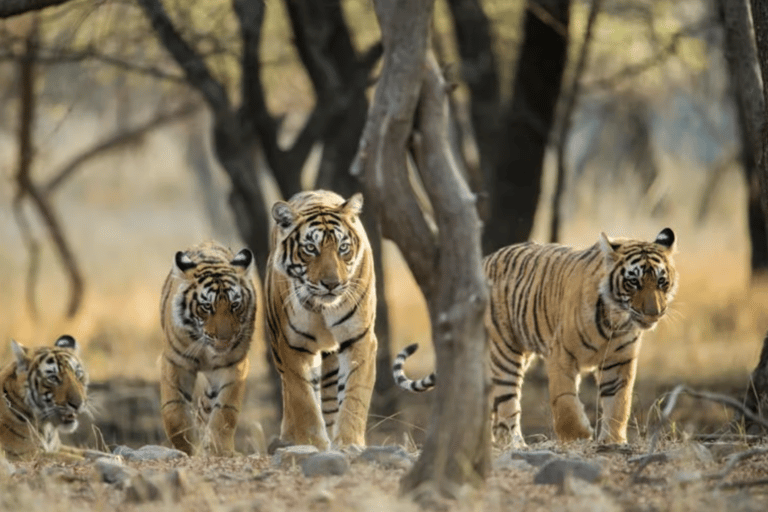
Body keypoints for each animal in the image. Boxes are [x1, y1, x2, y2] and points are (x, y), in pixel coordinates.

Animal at [159, 241, 257, 456]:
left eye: (235, 305)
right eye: (206, 306)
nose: (225, 338)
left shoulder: (234, 366)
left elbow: (225, 412)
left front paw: (219, 450)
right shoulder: (175, 363)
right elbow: (174, 411)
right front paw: (186, 448)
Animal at [266, 190, 377, 450]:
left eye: (343, 248)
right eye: (310, 248)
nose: (332, 284)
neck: (322, 308)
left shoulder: (359, 339)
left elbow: (355, 395)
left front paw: (349, 443)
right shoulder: (293, 346)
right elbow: (303, 399)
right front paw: (312, 443)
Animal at [393, 228, 677, 445]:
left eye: (661, 282)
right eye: (633, 282)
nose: (654, 312)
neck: (615, 321)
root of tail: (483, 262)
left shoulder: (619, 362)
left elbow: (618, 402)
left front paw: (613, 441)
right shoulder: (561, 355)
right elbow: (564, 401)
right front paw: (578, 435)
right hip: (504, 353)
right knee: (507, 405)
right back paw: (515, 444)